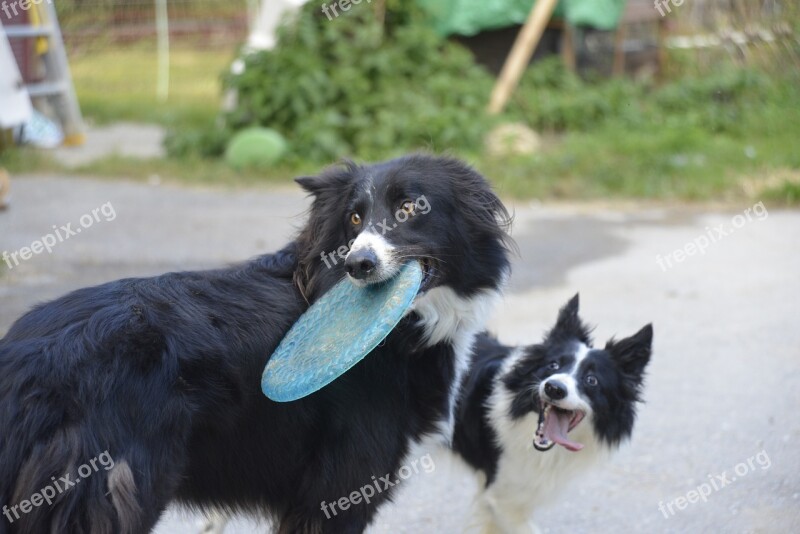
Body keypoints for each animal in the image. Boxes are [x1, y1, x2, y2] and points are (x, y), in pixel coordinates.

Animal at [0, 156, 512, 534]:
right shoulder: (343, 484)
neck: (411, 323)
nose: (358, 265)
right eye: (355, 217)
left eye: (411, 208)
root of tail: (24, 362)